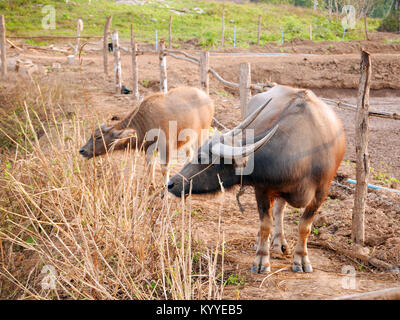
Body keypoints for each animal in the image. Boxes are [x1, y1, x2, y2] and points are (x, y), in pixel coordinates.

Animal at [167, 84, 346, 272]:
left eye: (202, 158)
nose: (171, 183)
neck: (303, 153)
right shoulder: (262, 189)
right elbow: (265, 223)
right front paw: (261, 260)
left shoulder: (321, 193)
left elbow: (305, 227)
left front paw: (301, 259)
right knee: (276, 212)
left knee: (279, 209)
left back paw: (279, 242)